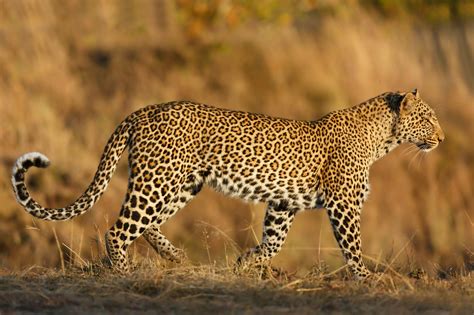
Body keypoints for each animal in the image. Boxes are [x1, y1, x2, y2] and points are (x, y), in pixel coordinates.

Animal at [11, 89, 442, 278]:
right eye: (427, 119)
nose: (440, 138)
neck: (382, 140)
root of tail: (143, 110)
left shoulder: (283, 203)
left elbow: (274, 241)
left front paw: (246, 263)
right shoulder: (343, 204)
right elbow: (353, 247)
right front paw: (365, 281)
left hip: (182, 183)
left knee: (146, 225)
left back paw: (177, 258)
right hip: (159, 179)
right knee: (119, 230)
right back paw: (124, 271)